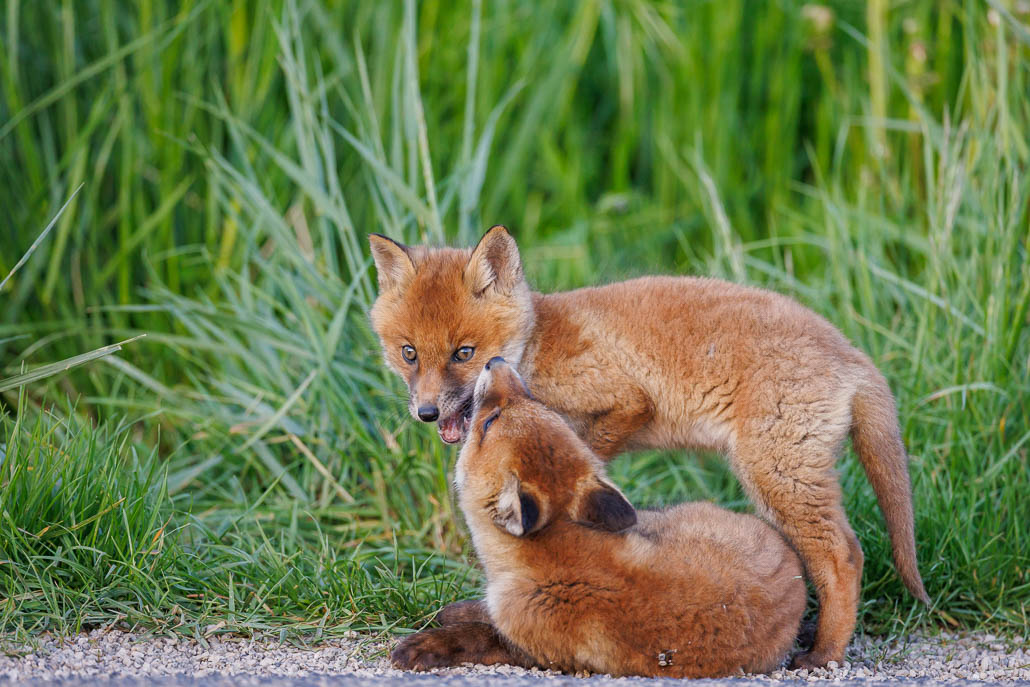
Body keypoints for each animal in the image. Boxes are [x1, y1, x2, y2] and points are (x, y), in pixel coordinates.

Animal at [391, 357, 807, 677]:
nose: (495, 361)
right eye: (543, 408)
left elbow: (477, 633)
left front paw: (426, 642)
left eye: (490, 421)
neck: (556, 560)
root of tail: (792, 560)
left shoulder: (531, 647)